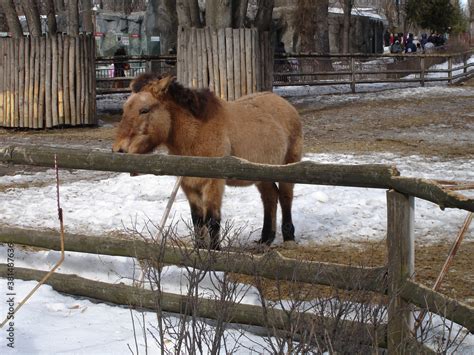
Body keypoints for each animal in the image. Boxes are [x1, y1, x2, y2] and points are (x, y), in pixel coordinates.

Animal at [113, 73, 302, 249]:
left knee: (285, 197)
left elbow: (212, 220)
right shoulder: (188, 185)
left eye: (144, 110)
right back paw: (265, 239)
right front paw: (200, 249)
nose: (118, 150)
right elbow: (197, 220)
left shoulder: (213, 184)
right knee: (270, 197)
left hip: (287, 168)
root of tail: (285, 104)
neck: (196, 134)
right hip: (262, 174)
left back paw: (288, 237)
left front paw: (214, 251)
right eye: (125, 109)